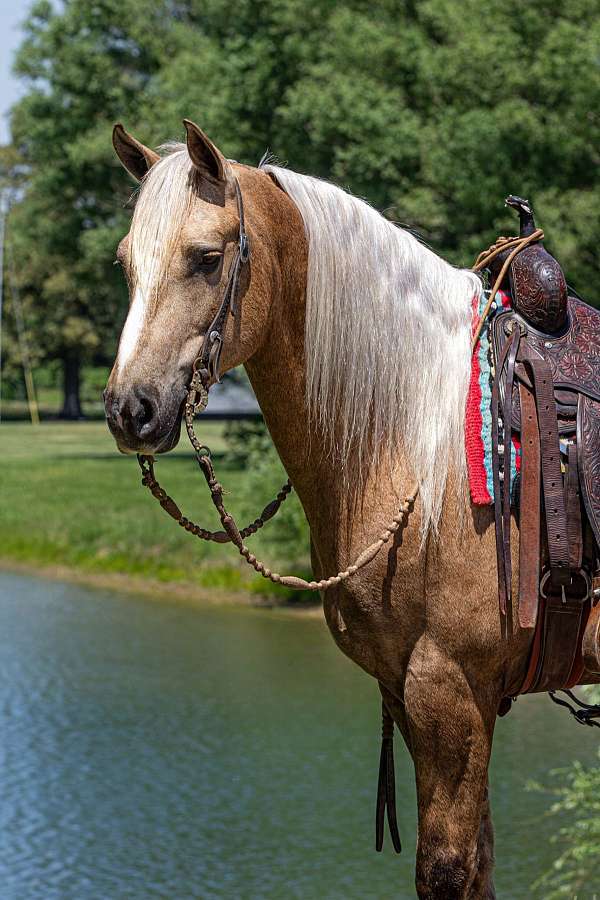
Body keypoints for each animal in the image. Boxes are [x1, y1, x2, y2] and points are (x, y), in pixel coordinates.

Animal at [104, 120, 555, 899]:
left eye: (205, 259)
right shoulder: (409, 692)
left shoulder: (452, 689)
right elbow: (479, 864)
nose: (130, 409)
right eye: (128, 264)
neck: (420, 436)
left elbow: (446, 868)